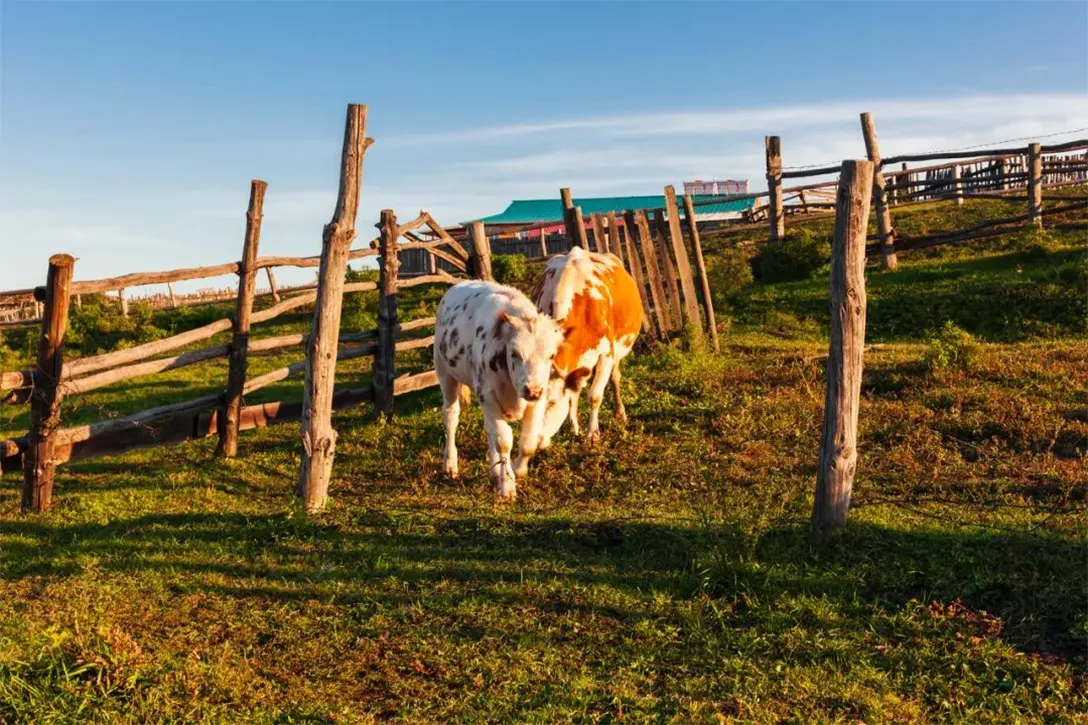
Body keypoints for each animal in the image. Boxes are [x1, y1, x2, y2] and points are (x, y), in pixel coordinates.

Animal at [430, 278, 561, 500]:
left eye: (551, 355)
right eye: (514, 353)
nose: (532, 390)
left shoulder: (536, 402)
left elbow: (528, 442)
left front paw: (517, 470)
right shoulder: (488, 395)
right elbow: (504, 440)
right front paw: (507, 486)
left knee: (488, 428)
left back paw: (494, 471)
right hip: (446, 373)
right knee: (450, 416)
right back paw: (450, 465)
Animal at [530, 246, 639, 444]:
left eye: (552, 402)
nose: (536, 441)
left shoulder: (606, 354)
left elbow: (595, 395)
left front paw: (592, 434)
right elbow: (572, 395)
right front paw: (573, 427)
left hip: (617, 351)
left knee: (615, 378)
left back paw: (620, 414)